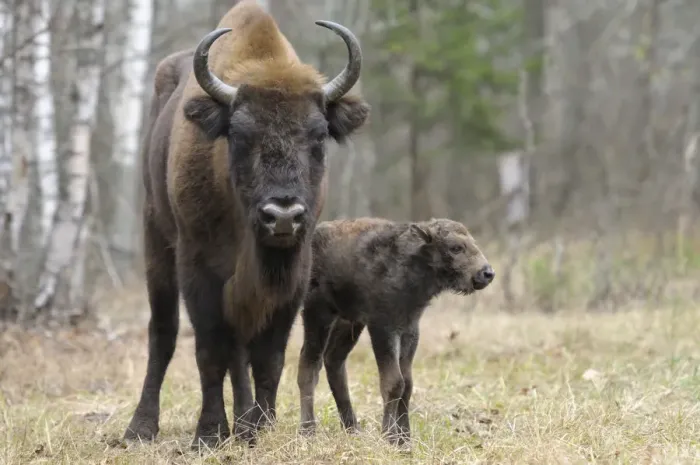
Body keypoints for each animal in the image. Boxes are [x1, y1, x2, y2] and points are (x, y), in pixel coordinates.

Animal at [123, 0, 370, 449]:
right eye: (239, 134)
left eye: (319, 135)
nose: (283, 216)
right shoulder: (198, 269)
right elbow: (209, 351)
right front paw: (209, 433)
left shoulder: (293, 274)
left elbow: (267, 356)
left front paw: (261, 427)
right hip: (156, 239)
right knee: (163, 333)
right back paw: (141, 428)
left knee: (238, 351)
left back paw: (243, 421)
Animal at [296, 218, 495, 446]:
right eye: (455, 247)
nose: (487, 273)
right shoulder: (382, 328)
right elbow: (393, 382)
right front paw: (389, 436)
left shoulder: (409, 330)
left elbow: (407, 384)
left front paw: (405, 438)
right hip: (318, 313)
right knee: (309, 365)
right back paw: (308, 431)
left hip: (349, 322)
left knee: (334, 362)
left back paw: (352, 429)